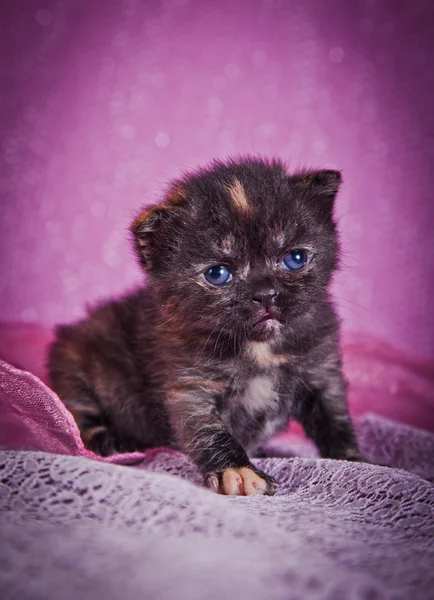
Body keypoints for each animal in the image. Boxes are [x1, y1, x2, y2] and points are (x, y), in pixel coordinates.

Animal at [47, 156, 362, 496]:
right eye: (217, 274)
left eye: (296, 258)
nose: (266, 294)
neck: (259, 347)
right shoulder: (190, 385)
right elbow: (208, 429)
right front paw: (237, 470)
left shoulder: (321, 371)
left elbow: (335, 420)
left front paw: (355, 461)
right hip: (76, 362)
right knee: (79, 412)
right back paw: (112, 440)